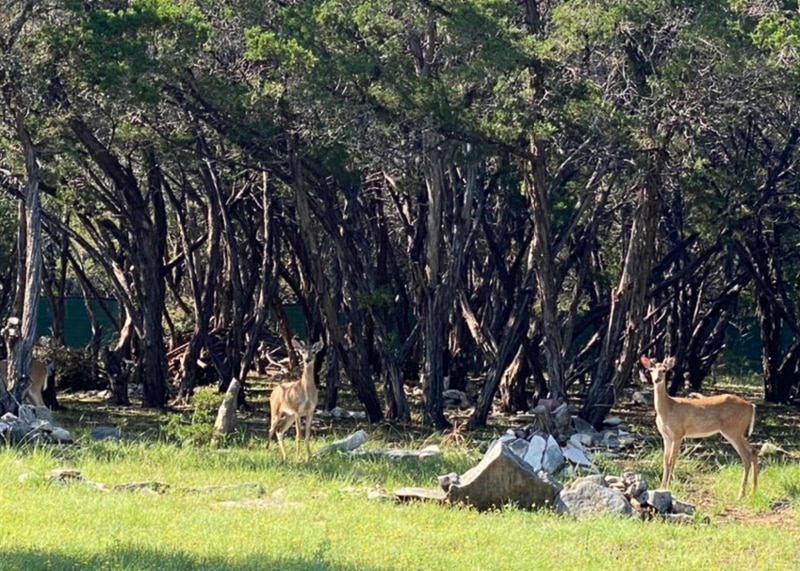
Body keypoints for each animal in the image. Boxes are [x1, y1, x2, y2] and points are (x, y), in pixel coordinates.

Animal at [640, 356, 760, 498]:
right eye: (651, 370)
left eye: (664, 370)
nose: (656, 380)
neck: (668, 409)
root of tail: (751, 406)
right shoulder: (666, 436)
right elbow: (665, 460)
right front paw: (662, 486)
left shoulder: (678, 433)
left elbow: (672, 460)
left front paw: (669, 487)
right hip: (738, 431)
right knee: (753, 451)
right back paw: (753, 490)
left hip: (733, 429)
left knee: (746, 457)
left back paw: (741, 494)